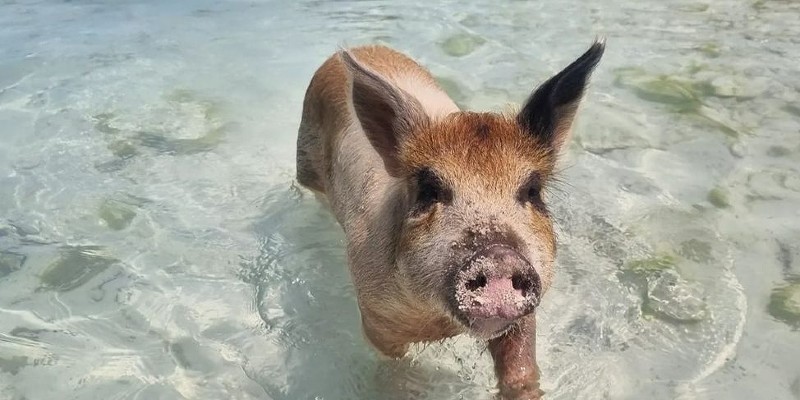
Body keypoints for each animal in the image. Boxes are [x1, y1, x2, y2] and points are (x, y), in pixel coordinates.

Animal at [296, 38, 604, 400]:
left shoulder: (529, 304)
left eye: (532, 191)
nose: (498, 256)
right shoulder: (375, 318)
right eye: (430, 190)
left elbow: (521, 368)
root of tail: (359, 48)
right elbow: (399, 371)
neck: (440, 322)